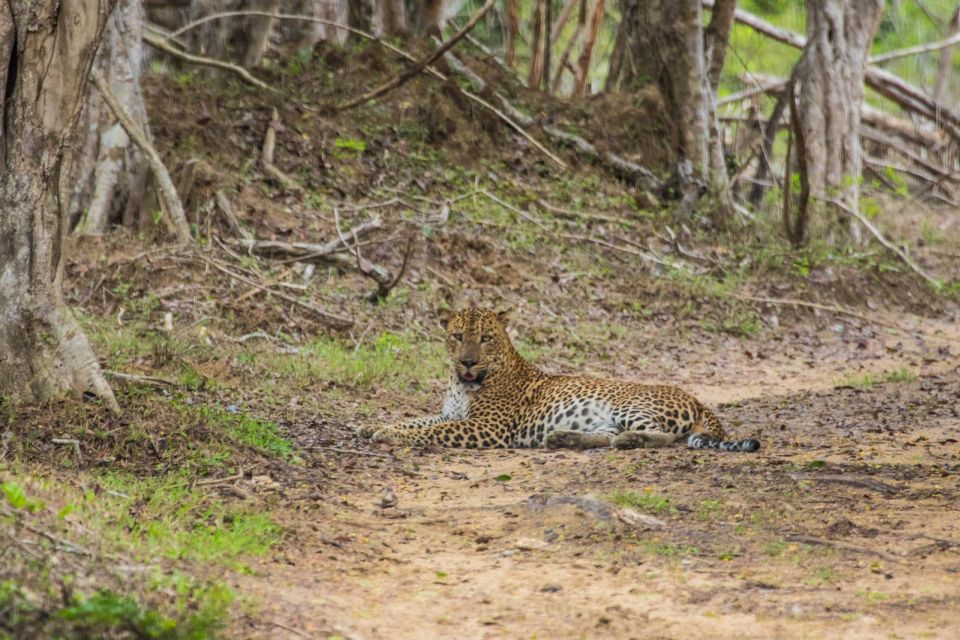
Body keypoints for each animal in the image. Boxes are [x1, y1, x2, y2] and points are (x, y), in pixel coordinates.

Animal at [360, 308, 756, 450]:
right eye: (457, 336)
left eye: (486, 337)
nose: (467, 362)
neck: (463, 383)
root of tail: (698, 400)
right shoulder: (451, 414)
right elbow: (419, 419)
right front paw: (376, 426)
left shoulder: (486, 428)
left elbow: (431, 430)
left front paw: (391, 435)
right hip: (608, 418)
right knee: (604, 436)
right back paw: (563, 437)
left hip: (631, 405)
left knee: (664, 436)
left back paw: (629, 440)